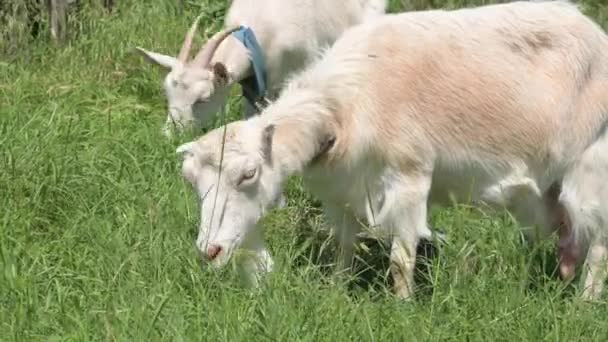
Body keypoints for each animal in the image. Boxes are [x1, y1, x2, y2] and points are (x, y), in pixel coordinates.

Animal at [173, 0, 608, 300]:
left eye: (248, 174)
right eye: (191, 181)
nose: (209, 251)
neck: (343, 106)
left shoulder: (410, 177)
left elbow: (401, 258)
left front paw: (403, 305)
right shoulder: (342, 189)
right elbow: (343, 247)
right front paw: (336, 292)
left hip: (592, 162)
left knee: (599, 242)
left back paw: (583, 305)